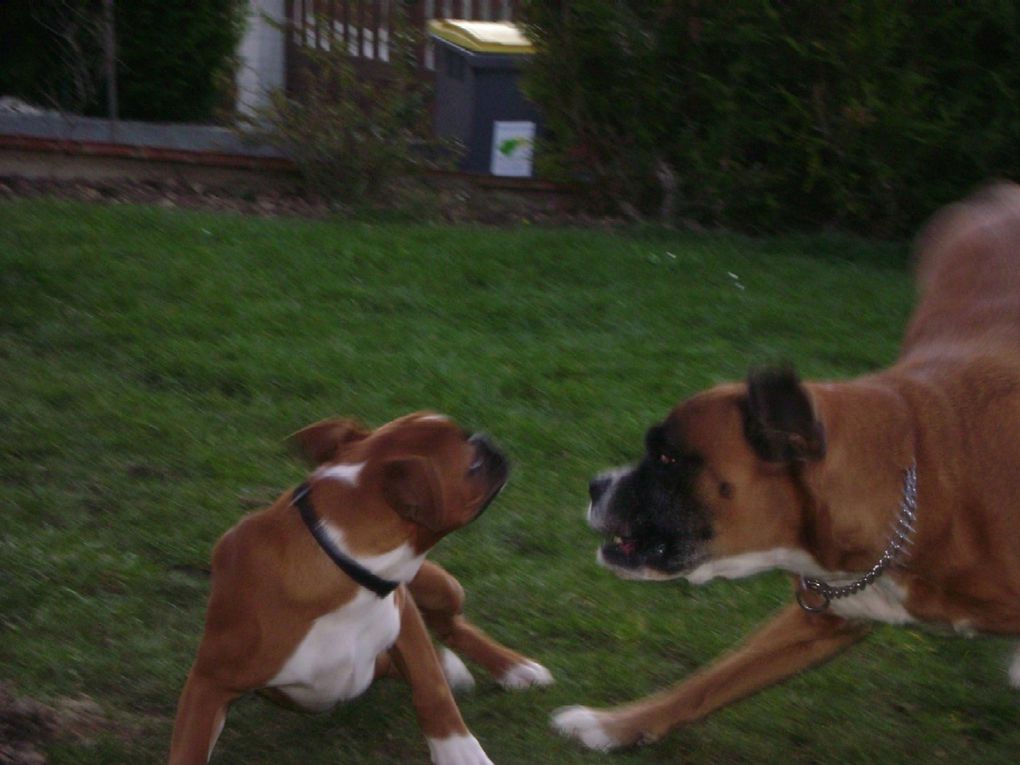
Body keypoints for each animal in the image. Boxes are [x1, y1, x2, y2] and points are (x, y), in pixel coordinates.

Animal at [169, 414, 550, 765]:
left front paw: (459, 752)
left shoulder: (405, 616)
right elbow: (189, 750)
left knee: (452, 627)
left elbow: (432, 688)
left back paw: (515, 667)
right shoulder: (208, 683)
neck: (339, 559)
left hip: (444, 586)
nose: (489, 440)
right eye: (473, 465)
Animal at [554, 182, 1020, 750]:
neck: (925, 479)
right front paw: (612, 725)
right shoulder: (822, 614)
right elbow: (711, 679)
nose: (596, 485)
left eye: (666, 458)